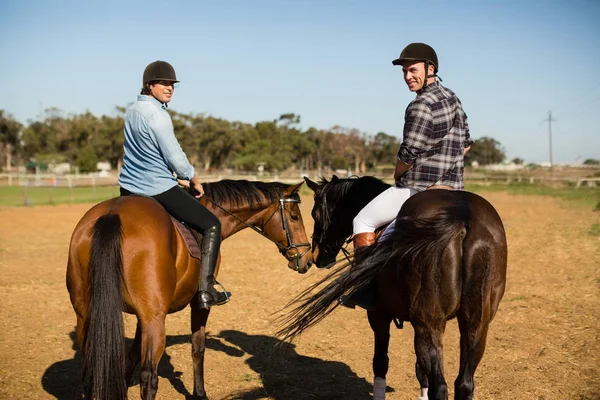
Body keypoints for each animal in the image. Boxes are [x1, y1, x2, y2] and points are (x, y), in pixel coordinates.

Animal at [67, 180, 314, 398]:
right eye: (294, 216)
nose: (307, 259)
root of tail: (113, 214)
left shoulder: (139, 316)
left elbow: (132, 356)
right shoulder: (198, 305)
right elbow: (198, 348)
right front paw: (200, 394)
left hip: (86, 313)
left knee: (90, 368)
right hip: (154, 319)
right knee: (149, 377)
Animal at [276, 177, 506, 400]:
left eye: (314, 213)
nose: (315, 257)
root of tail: (462, 215)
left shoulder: (379, 315)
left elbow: (380, 362)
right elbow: (420, 371)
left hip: (430, 324)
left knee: (440, 387)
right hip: (476, 324)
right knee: (464, 384)